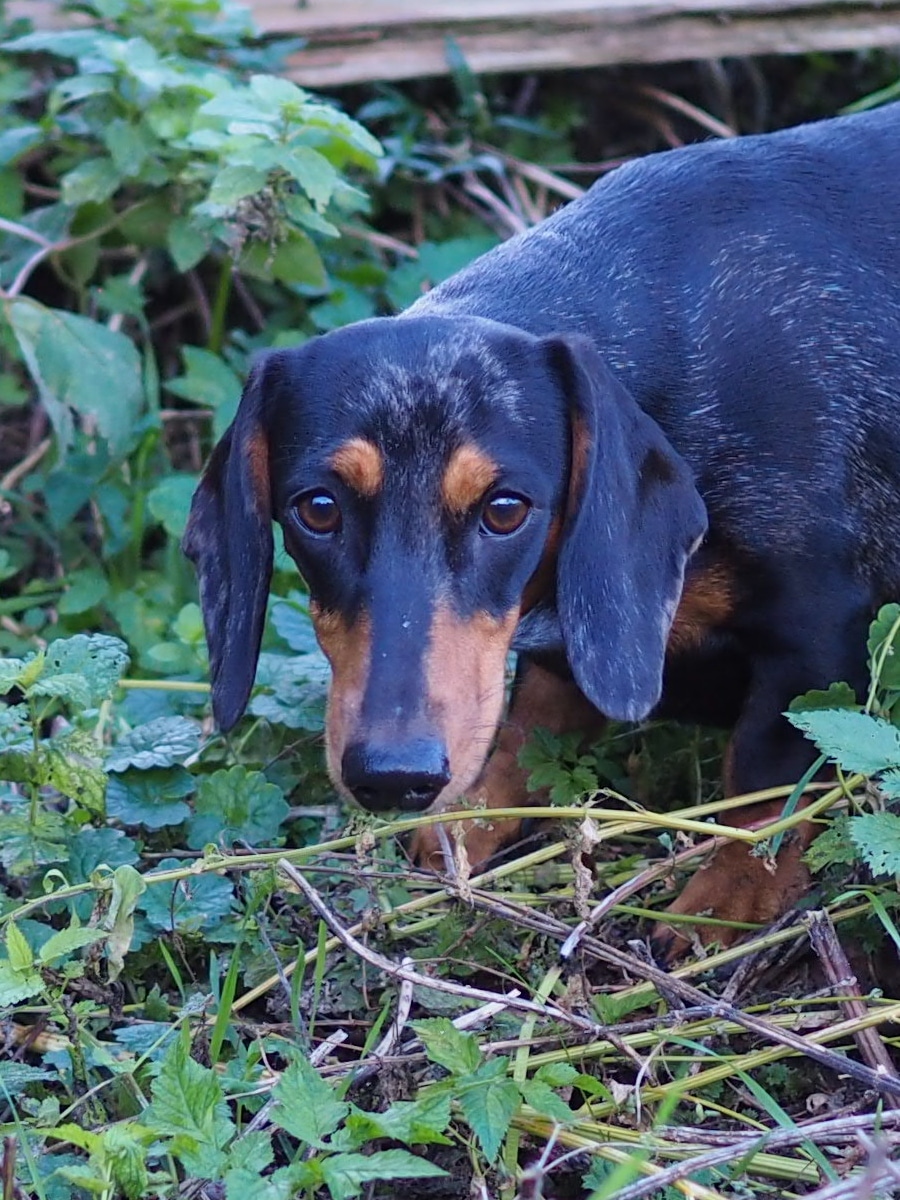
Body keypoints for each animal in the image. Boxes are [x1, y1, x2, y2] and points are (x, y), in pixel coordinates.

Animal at [187, 103, 900, 945]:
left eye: (505, 509)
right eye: (318, 509)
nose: (394, 777)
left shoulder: (816, 632)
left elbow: (767, 784)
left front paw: (720, 902)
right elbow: (528, 730)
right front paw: (464, 827)